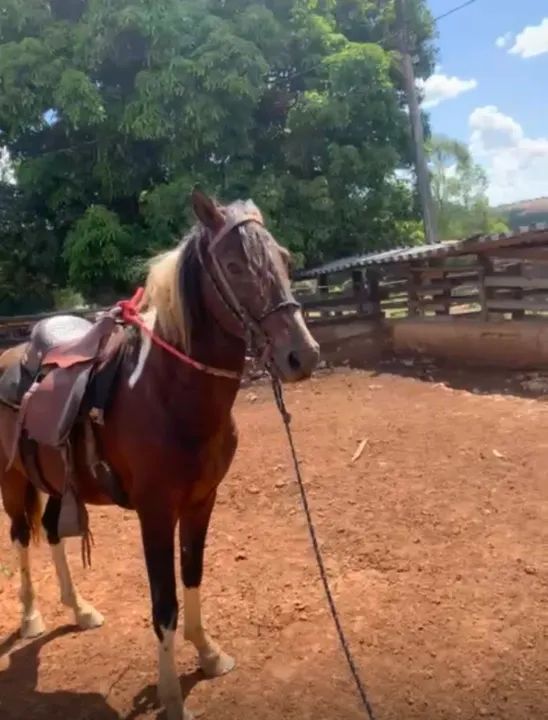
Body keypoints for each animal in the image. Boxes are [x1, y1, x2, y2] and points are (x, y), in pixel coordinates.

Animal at [0, 189, 320, 720]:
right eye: (234, 265)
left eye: (286, 259)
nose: (303, 355)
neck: (167, 393)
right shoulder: (155, 512)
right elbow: (164, 602)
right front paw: (172, 698)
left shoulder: (201, 502)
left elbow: (192, 576)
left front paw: (208, 654)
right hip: (12, 481)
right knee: (22, 536)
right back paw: (30, 617)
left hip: (56, 483)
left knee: (52, 532)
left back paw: (80, 610)